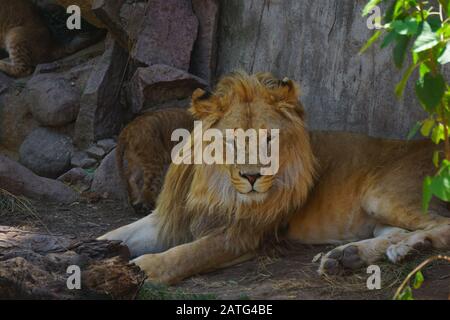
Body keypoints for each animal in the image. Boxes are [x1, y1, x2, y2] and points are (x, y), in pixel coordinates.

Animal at [100, 71, 450, 284]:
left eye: (269, 139)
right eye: (233, 140)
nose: (253, 177)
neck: (217, 185)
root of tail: (440, 146)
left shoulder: (242, 235)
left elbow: (183, 255)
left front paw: (141, 269)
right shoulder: (169, 217)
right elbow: (115, 236)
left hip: (381, 194)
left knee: (440, 225)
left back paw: (409, 248)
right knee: (397, 231)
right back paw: (351, 256)